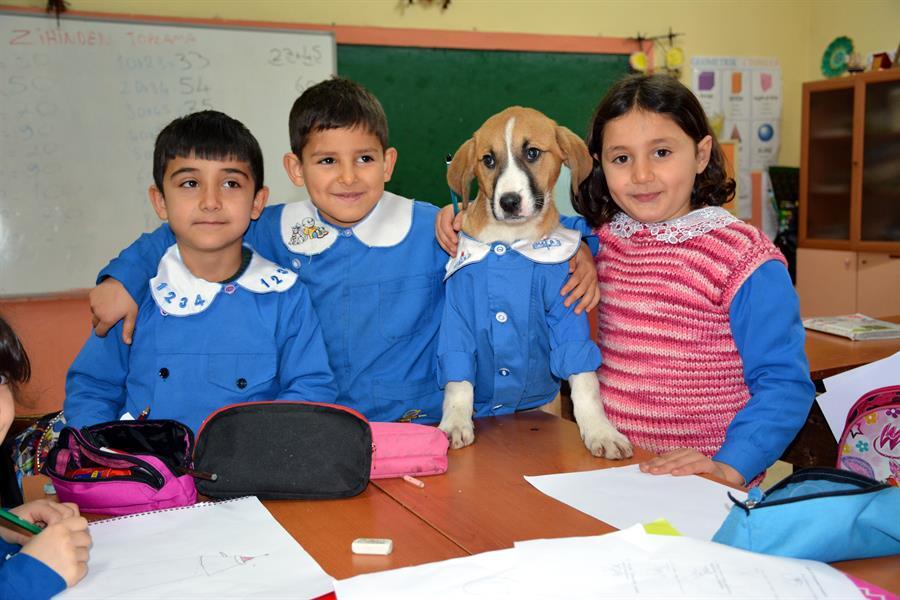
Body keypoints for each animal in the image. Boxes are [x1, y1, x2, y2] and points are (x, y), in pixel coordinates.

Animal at [438, 106, 632, 460]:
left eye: (532, 153)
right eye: (488, 160)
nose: (508, 201)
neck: (510, 243)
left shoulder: (567, 310)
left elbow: (584, 380)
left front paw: (601, 431)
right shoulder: (457, 314)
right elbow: (458, 379)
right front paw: (455, 422)